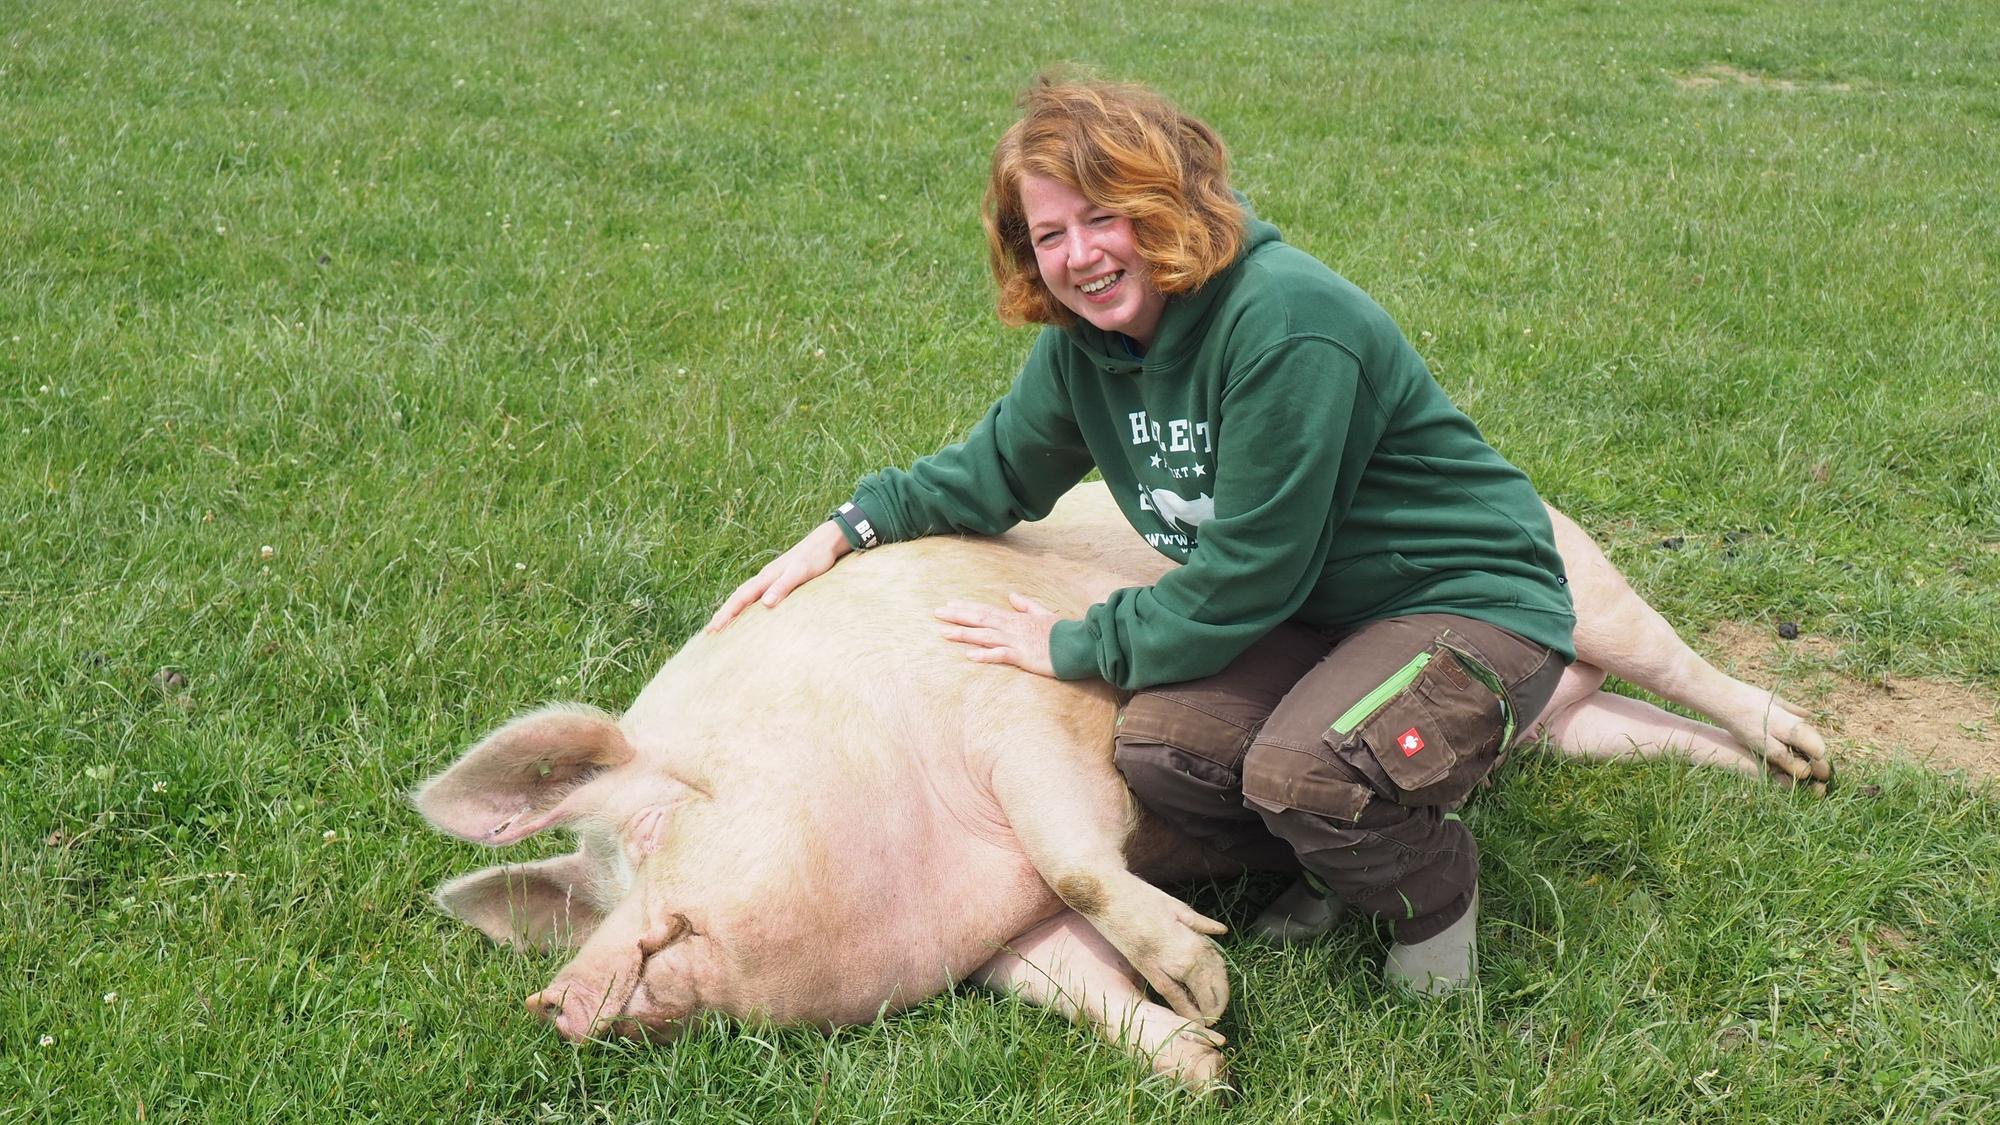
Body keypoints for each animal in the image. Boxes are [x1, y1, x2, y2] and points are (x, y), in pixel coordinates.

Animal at [414, 482, 1830, 1092]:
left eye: (645, 829)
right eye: (589, 894)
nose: (553, 998)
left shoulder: (1027, 730)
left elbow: (1075, 853)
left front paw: (1202, 974)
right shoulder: (991, 936)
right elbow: (1062, 978)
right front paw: (1202, 1058)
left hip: (1580, 584)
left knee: (1673, 658)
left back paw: (1817, 760)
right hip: (1563, 727)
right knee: (1621, 724)